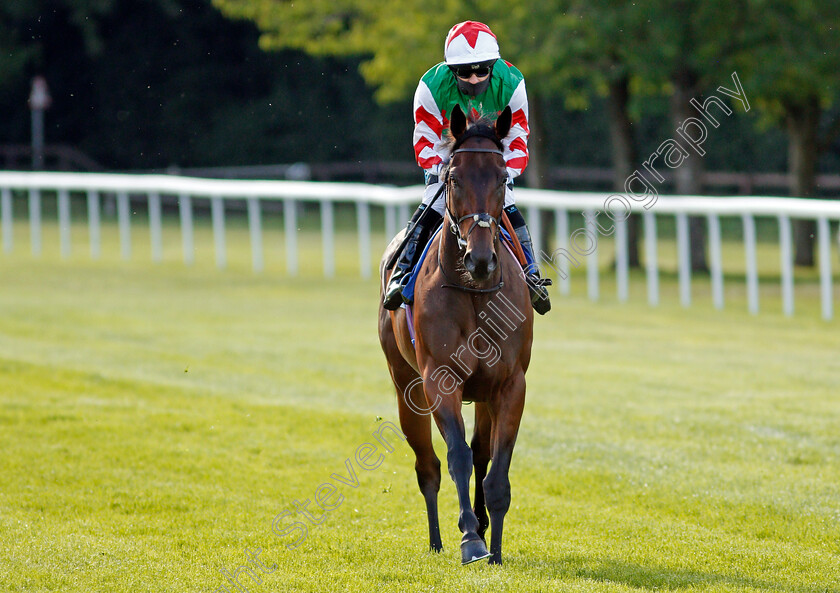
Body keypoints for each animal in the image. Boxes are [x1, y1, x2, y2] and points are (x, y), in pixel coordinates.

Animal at [378, 105, 536, 564]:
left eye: (501, 177)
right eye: (453, 178)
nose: (480, 259)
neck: (474, 291)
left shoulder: (510, 384)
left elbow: (496, 467)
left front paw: (494, 546)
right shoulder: (440, 379)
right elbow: (457, 457)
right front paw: (470, 539)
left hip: (482, 394)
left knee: (481, 454)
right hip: (405, 386)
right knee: (428, 466)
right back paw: (436, 540)